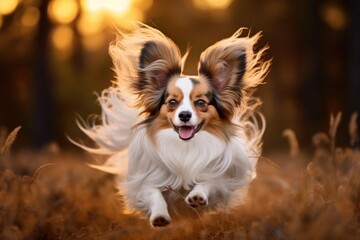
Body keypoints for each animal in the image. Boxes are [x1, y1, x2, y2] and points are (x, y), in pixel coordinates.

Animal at [72, 23, 270, 227]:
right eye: (172, 102)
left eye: (200, 103)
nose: (184, 115)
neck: (185, 147)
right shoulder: (145, 182)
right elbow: (154, 193)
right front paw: (159, 215)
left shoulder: (221, 182)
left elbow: (207, 182)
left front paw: (197, 196)